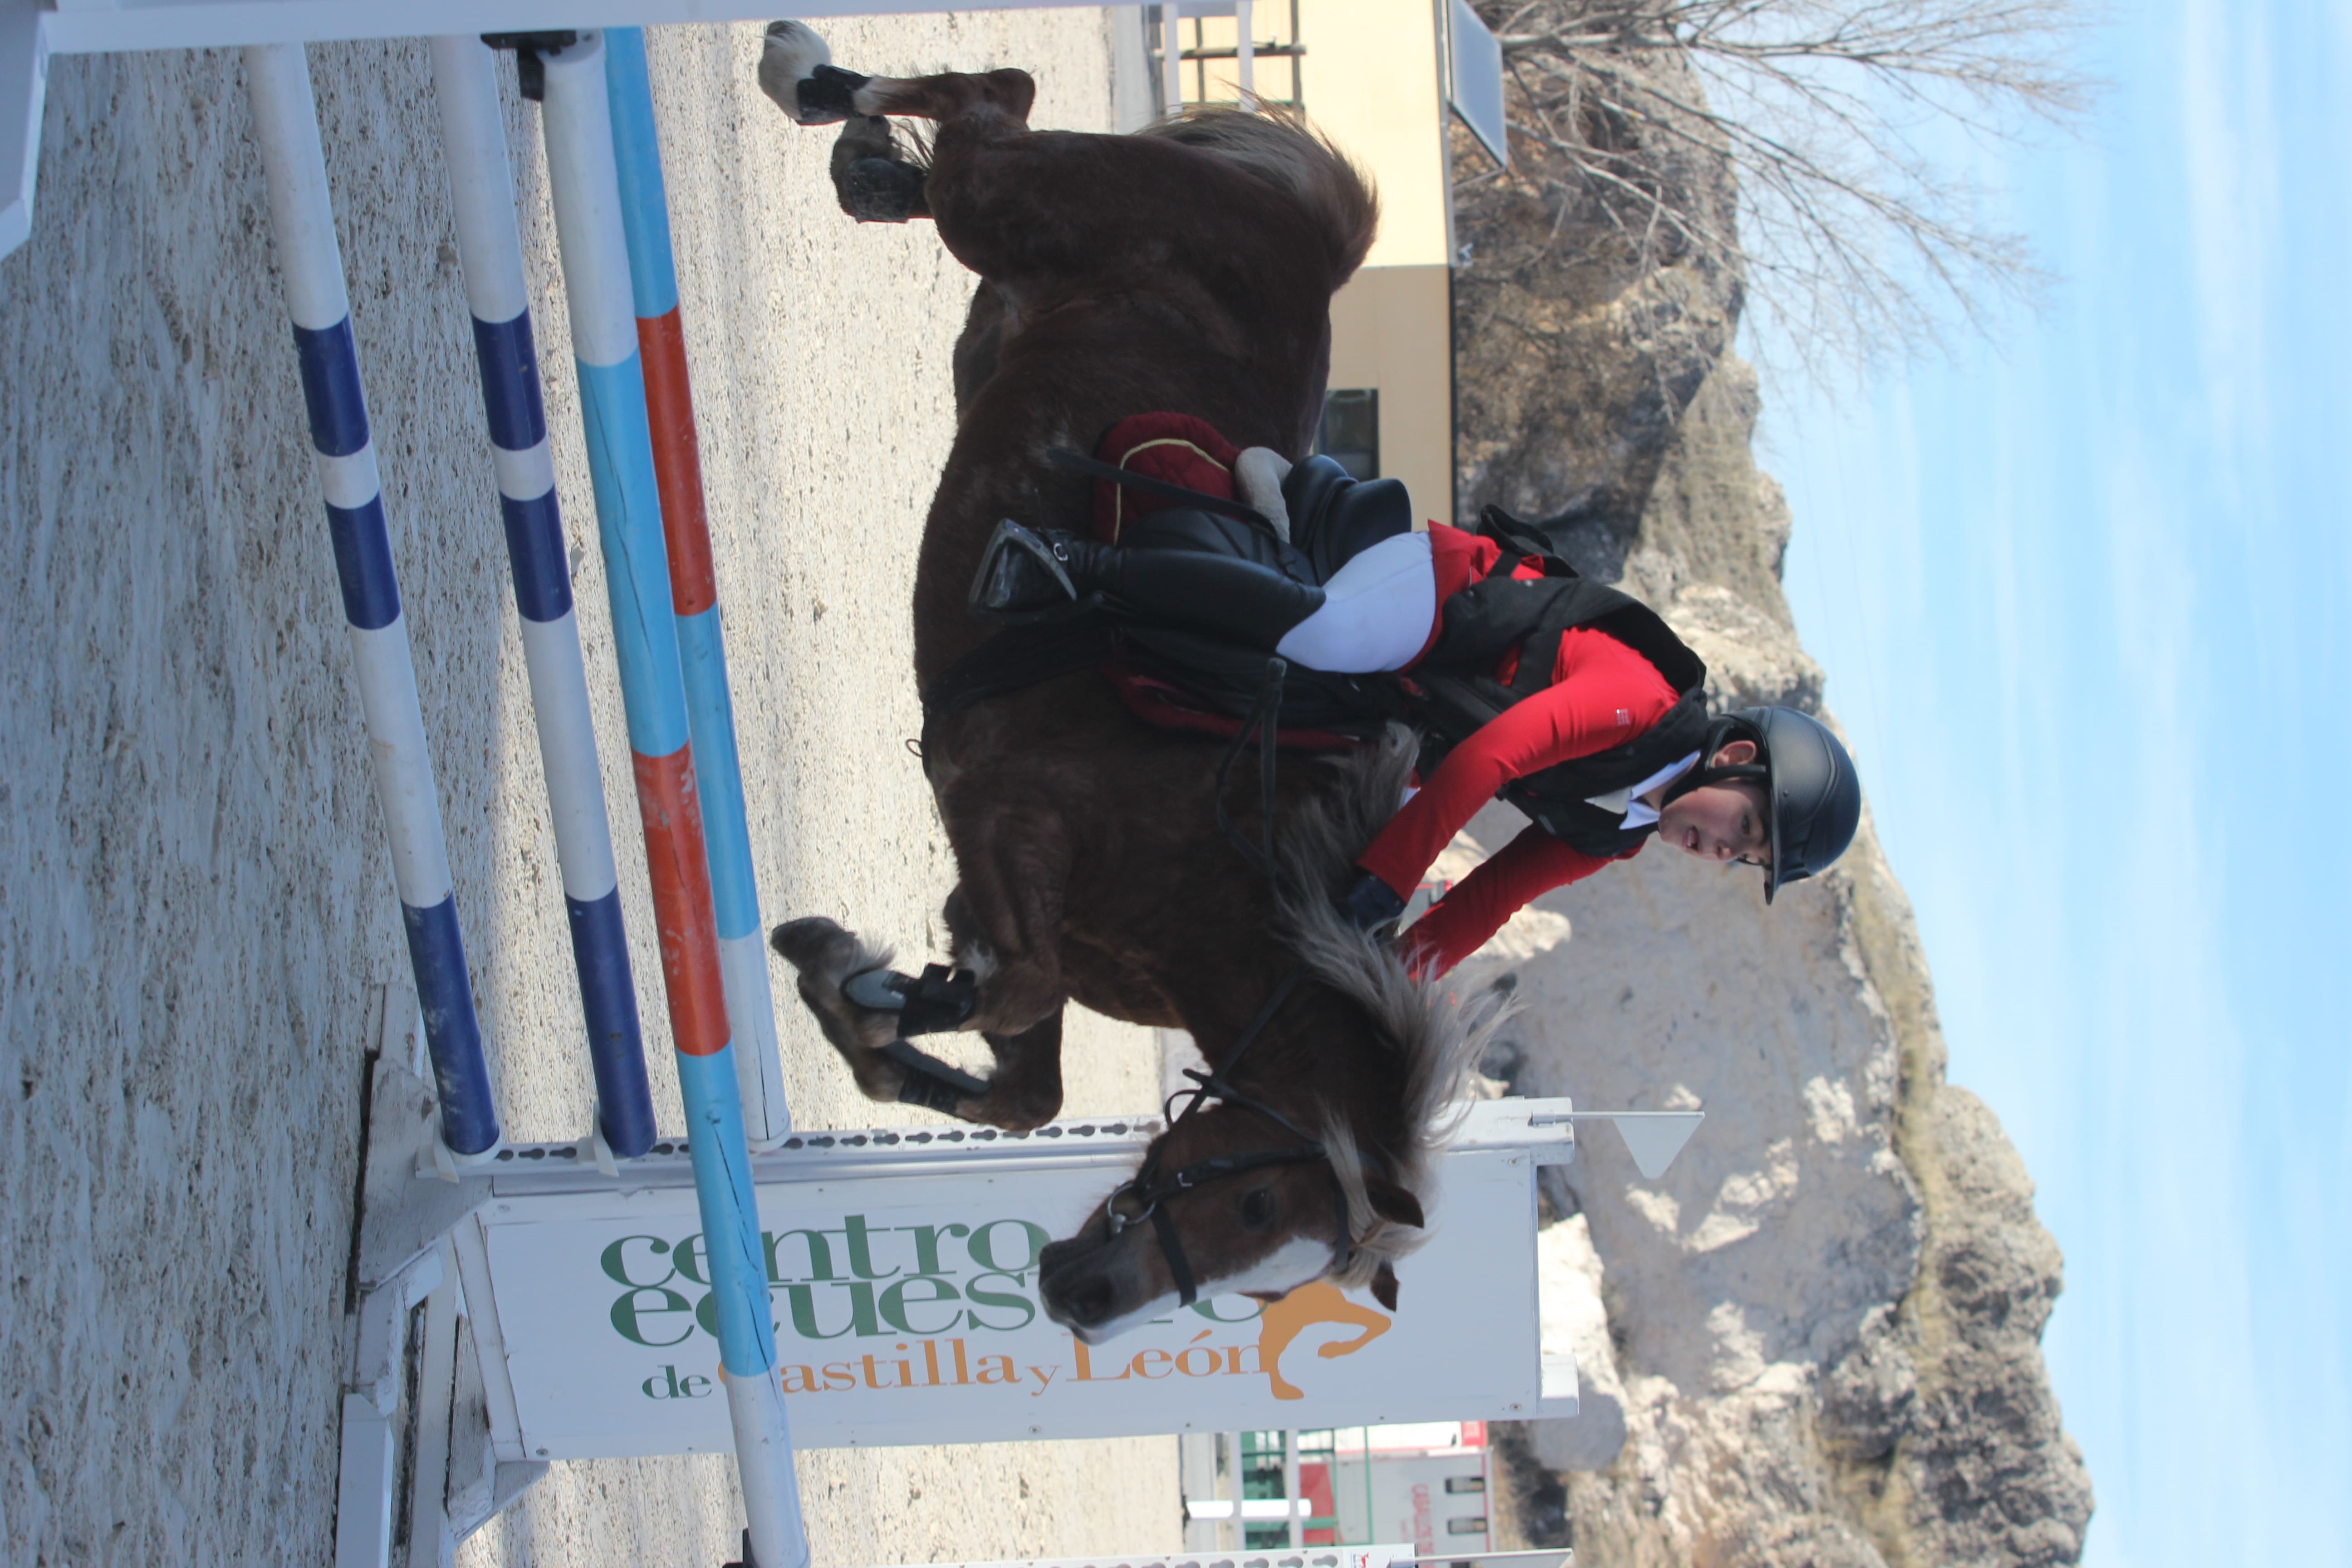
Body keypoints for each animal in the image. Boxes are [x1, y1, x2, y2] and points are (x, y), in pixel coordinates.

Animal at [752, 24, 1496, 1344]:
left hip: (998, 305)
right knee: (990, 99)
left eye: (1270, 1280)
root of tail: (1311, 243)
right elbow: (1006, 999)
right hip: (1005, 209)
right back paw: (808, 81)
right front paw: (865, 986)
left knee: (979, 129)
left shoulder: (999, 889)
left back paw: (864, 158)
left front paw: (861, 989)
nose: (1083, 1301)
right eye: (1256, 1205)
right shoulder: (1006, 807)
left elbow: (1023, 1086)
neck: (1228, 904)